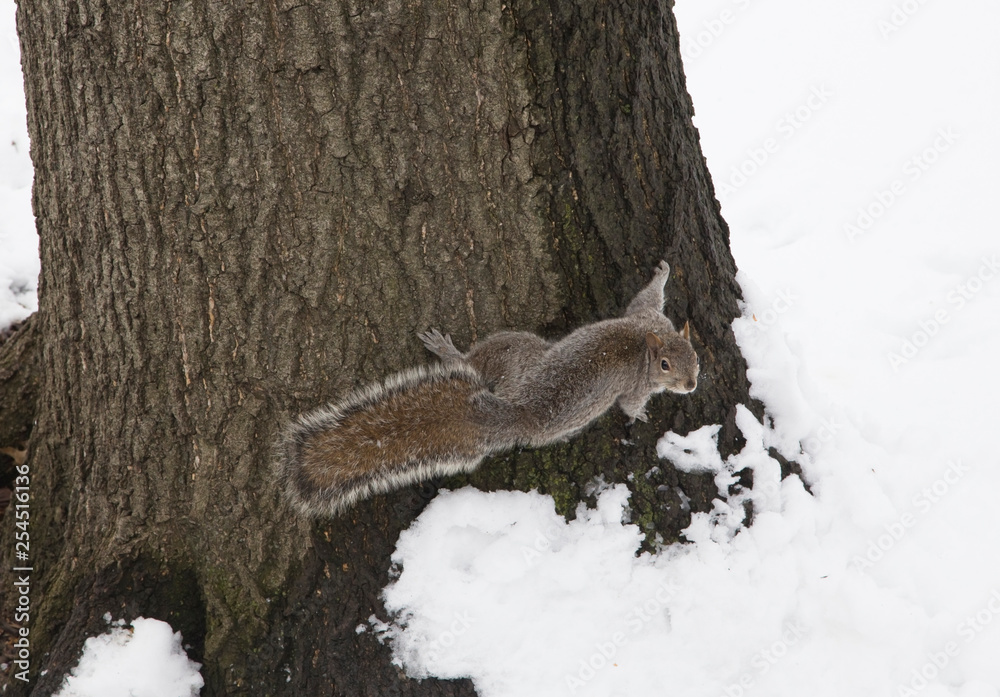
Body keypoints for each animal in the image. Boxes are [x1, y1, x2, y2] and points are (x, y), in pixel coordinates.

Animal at [278, 260, 700, 516]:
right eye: (666, 366)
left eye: (696, 357)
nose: (691, 385)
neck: (649, 343)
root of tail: (518, 412)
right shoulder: (640, 352)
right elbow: (631, 392)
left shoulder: (648, 321)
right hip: (518, 350)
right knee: (473, 362)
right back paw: (449, 351)